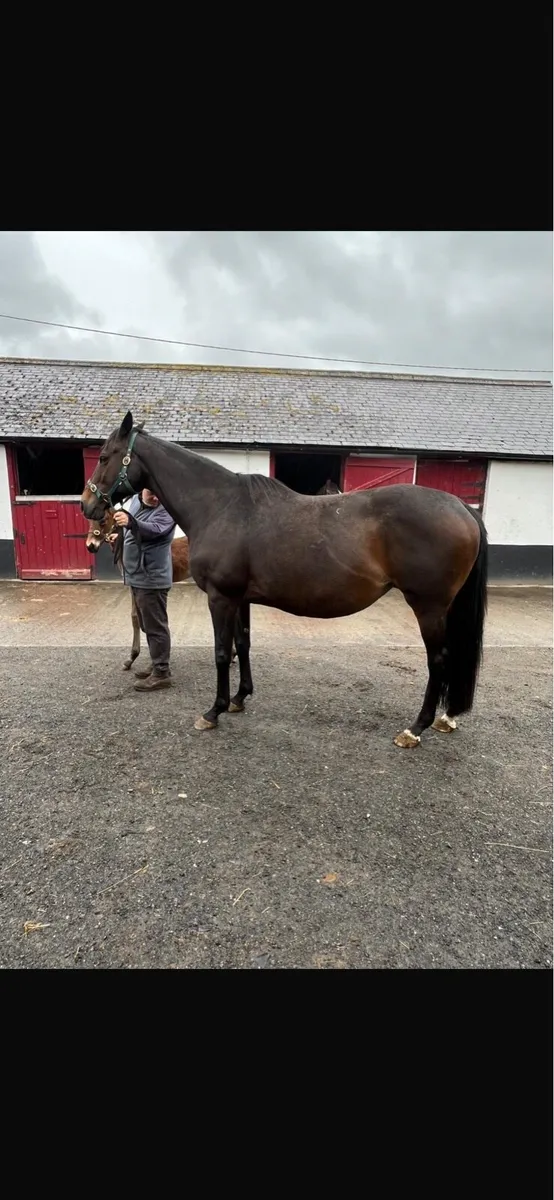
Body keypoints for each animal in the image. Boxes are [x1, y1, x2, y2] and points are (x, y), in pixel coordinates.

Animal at [81, 411, 488, 749]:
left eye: (104, 457)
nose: (87, 505)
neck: (220, 506)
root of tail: (460, 506)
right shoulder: (240, 598)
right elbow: (242, 645)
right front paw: (238, 699)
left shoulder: (220, 597)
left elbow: (221, 652)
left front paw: (213, 711)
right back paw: (446, 718)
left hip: (428, 606)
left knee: (439, 659)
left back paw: (415, 728)